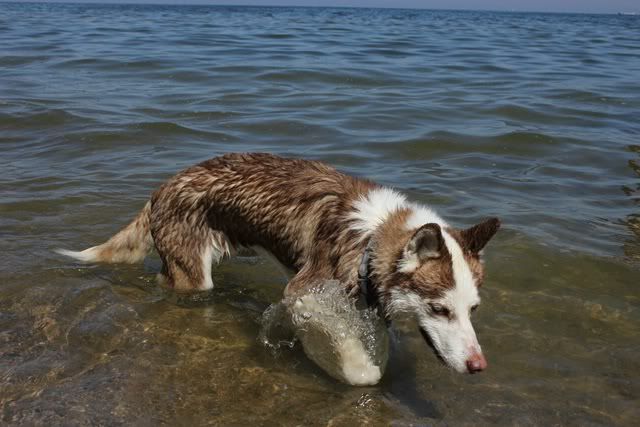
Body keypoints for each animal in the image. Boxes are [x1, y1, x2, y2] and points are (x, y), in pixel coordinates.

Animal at [57, 152, 500, 376]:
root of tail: (162, 186)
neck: (371, 239)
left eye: (473, 310)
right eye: (439, 310)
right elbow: (358, 366)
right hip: (193, 276)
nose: (478, 365)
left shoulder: (363, 302)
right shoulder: (304, 293)